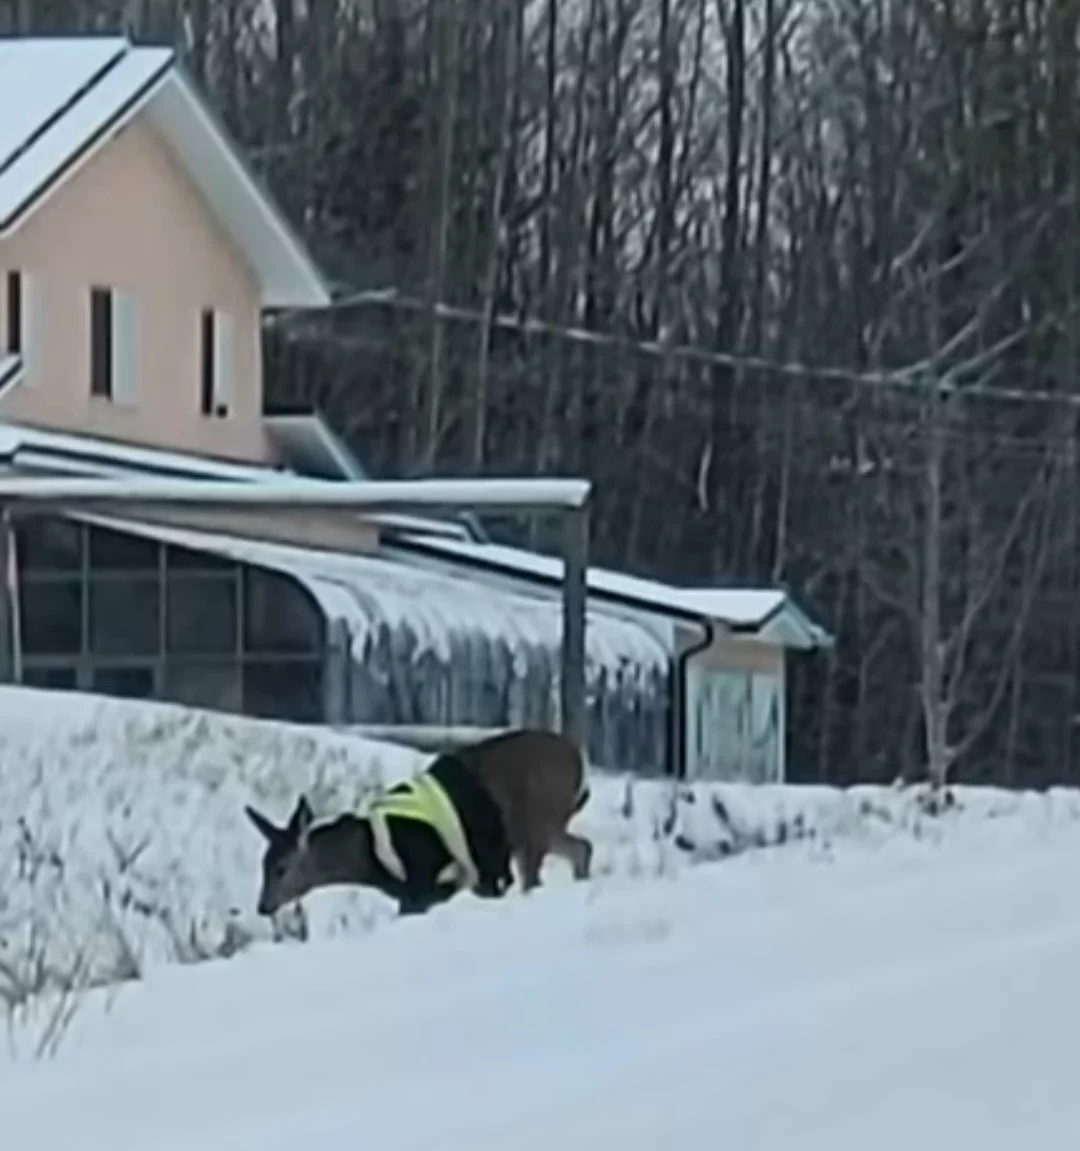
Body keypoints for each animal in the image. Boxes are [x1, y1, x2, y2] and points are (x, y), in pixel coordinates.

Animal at [242, 727, 589, 925]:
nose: (262, 906)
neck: (370, 855)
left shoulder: (427, 877)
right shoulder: (430, 890)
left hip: (536, 822)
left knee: (537, 877)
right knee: (582, 848)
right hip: (541, 828)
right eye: (262, 863)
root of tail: (578, 760)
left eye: (281, 867)